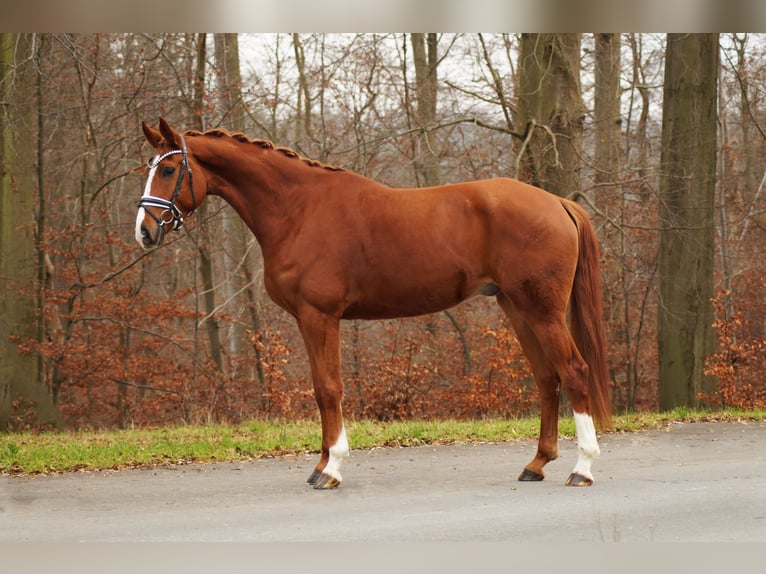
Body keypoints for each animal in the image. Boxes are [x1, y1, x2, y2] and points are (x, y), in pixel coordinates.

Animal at [134, 117, 612, 490]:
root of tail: (558, 203)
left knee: (574, 370)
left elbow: (330, 388)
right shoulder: (307, 320)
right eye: (150, 168)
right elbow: (319, 389)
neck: (297, 209)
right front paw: (320, 465)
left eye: (170, 168)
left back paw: (583, 468)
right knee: (546, 377)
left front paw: (333, 469)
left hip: (542, 311)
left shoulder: (320, 316)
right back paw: (537, 464)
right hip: (516, 307)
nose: (144, 230)